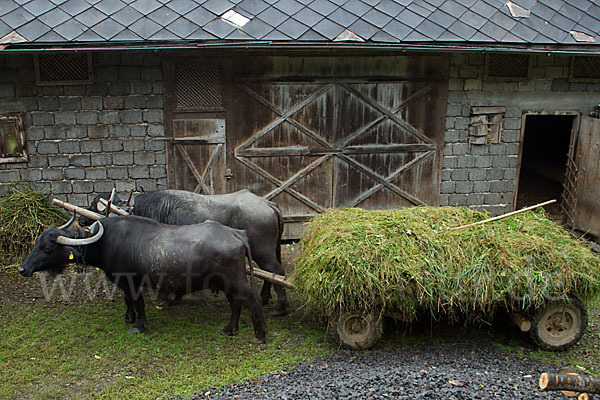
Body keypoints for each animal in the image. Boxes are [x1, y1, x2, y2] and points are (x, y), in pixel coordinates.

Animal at [18, 216, 268, 340]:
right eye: (37, 242)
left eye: (48, 247)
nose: (22, 269)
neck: (105, 241)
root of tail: (236, 233)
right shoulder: (123, 282)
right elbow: (128, 301)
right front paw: (128, 318)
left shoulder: (131, 281)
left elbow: (137, 302)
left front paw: (139, 325)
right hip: (227, 283)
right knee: (236, 303)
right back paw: (230, 329)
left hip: (235, 281)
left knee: (252, 299)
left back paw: (260, 333)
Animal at [79, 190, 288, 316]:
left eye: (93, 205)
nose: (81, 220)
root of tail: (268, 204)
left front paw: (167, 299)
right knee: (271, 274)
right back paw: (264, 298)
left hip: (264, 252)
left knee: (277, 272)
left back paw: (280, 307)